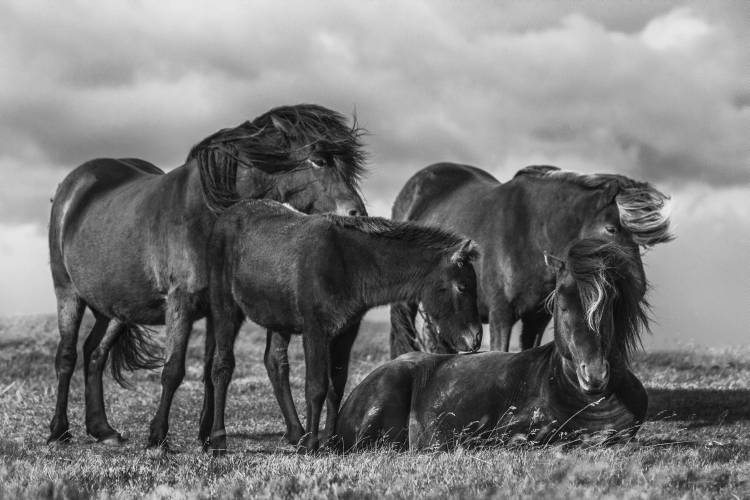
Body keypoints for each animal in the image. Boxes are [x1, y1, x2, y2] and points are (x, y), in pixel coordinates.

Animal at [45, 103, 368, 452]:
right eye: (319, 159)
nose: (357, 213)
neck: (207, 215)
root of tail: (74, 185)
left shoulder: (220, 308)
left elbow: (214, 368)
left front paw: (208, 435)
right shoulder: (181, 302)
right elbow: (174, 369)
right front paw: (158, 435)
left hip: (116, 308)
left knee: (95, 354)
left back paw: (102, 429)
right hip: (68, 293)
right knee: (67, 356)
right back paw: (59, 430)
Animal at [203, 198, 482, 454]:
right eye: (462, 287)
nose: (475, 338)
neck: (350, 264)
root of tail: (225, 215)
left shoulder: (345, 332)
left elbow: (336, 386)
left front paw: (329, 442)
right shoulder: (315, 330)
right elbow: (316, 386)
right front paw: (312, 446)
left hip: (278, 318)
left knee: (275, 363)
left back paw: (296, 434)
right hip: (224, 307)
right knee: (222, 365)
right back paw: (218, 440)